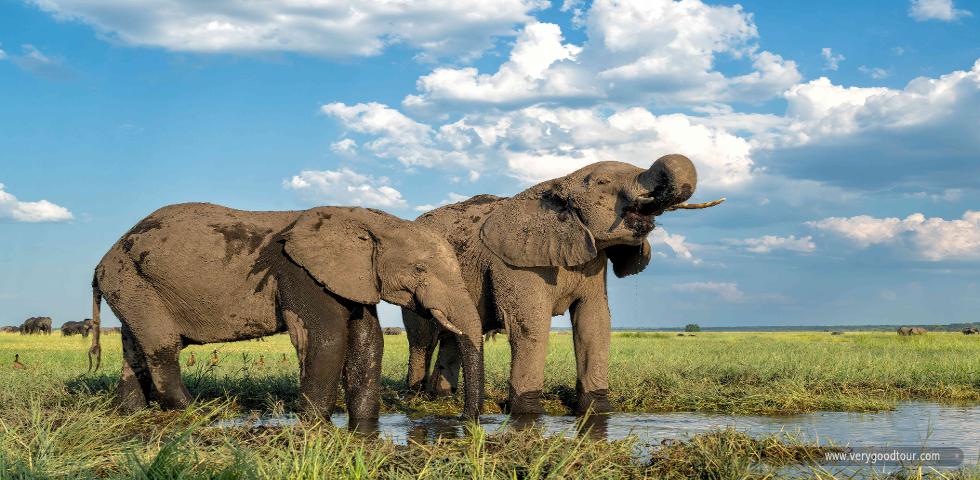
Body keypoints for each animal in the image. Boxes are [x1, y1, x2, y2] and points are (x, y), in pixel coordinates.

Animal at [92, 202, 486, 420]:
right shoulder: (300, 271)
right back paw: (197, 412)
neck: (366, 220)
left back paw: (133, 412)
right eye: (419, 269)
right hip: (134, 281)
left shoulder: (353, 278)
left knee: (134, 347)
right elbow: (328, 339)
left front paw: (362, 427)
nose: (464, 420)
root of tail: (103, 260)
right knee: (162, 346)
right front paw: (314, 424)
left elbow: (368, 341)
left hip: (133, 288)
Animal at [398, 155, 712, 416]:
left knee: (454, 335)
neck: (561, 182)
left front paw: (598, 411)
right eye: (603, 182)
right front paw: (528, 413)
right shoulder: (515, 263)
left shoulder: (593, 262)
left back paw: (442, 399)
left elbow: (594, 322)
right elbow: (531, 325)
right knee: (423, 340)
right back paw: (415, 399)